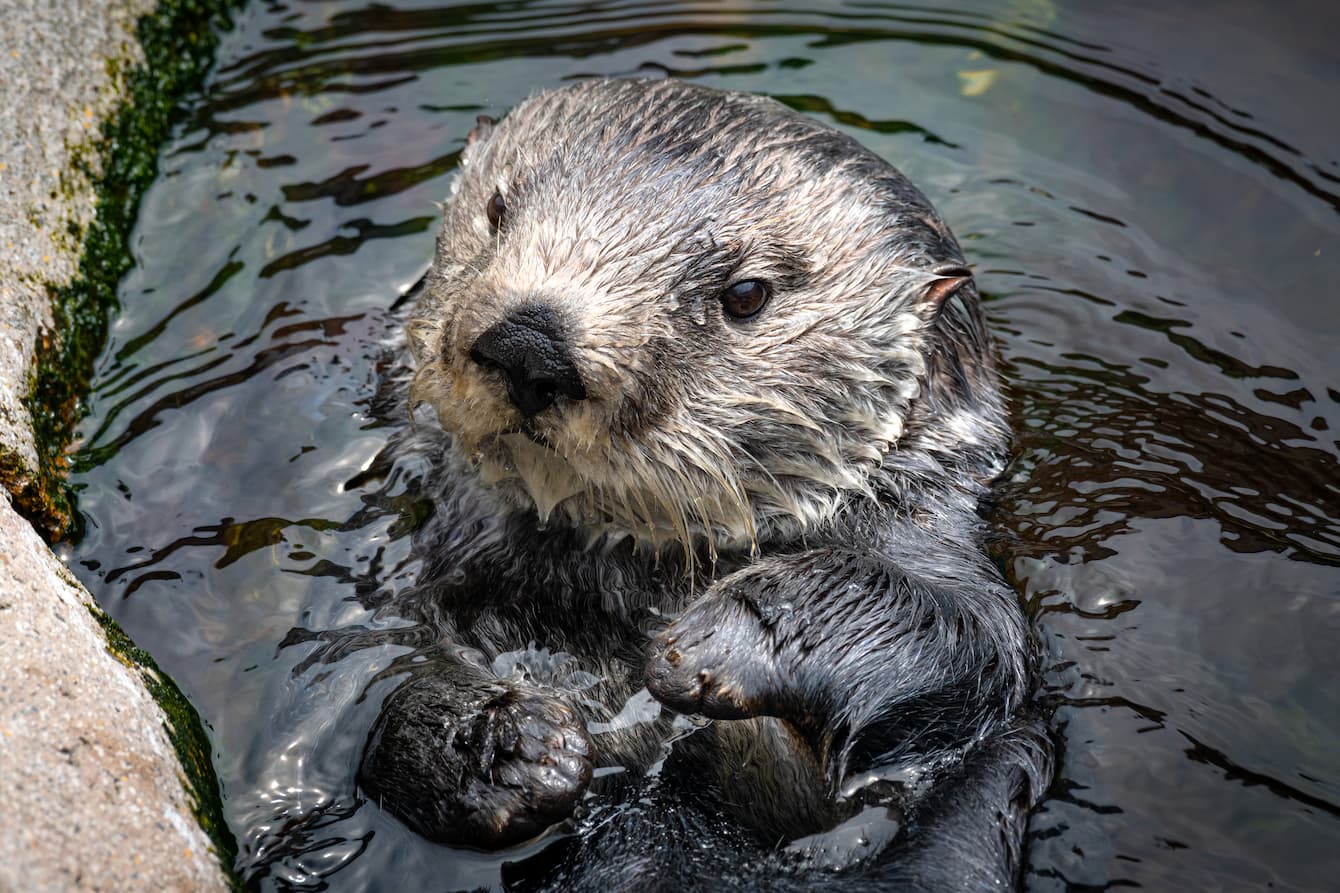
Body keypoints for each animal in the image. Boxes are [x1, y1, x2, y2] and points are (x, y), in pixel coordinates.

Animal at [358, 77, 1052, 890]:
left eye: (746, 293)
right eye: (497, 211)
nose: (531, 341)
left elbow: (974, 640)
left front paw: (723, 637)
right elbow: (382, 678)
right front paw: (496, 744)